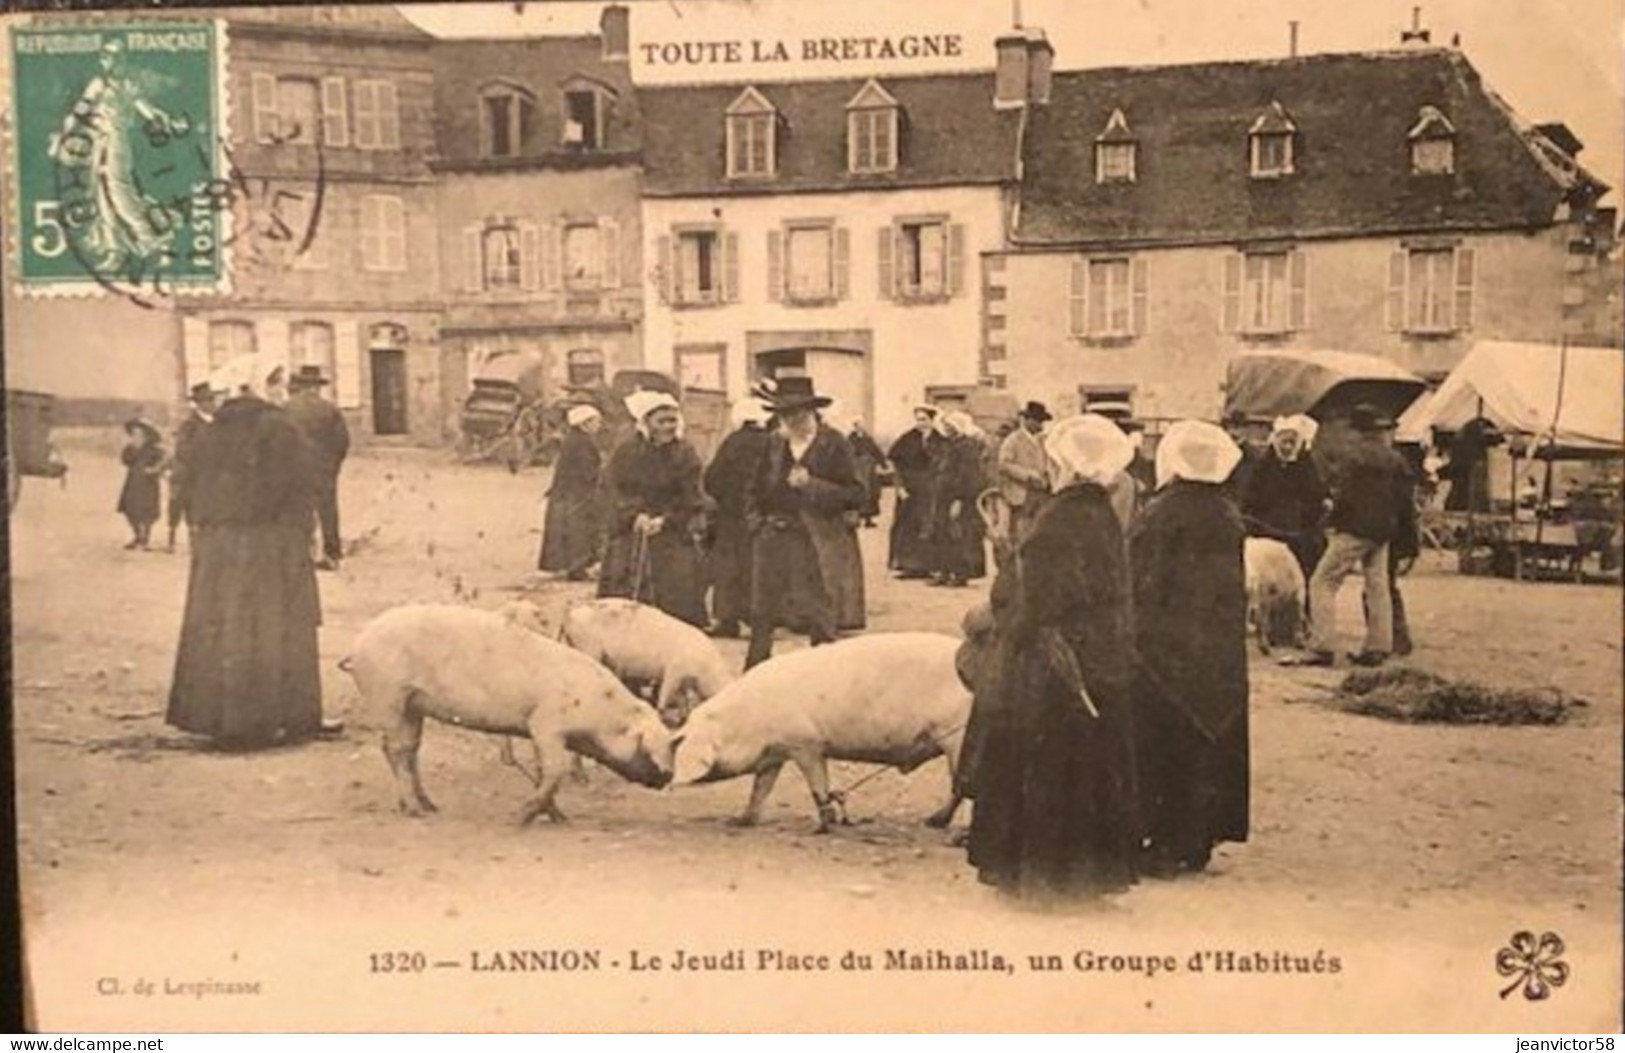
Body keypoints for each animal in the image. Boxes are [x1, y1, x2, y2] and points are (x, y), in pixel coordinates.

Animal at [342, 604, 672, 825]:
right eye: (649, 746)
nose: (668, 777)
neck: (600, 712)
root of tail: (359, 643)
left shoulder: (543, 733)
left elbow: (542, 771)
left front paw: (560, 817)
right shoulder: (545, 724)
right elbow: (554, 770)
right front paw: (520, 818)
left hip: (412, 706)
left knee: (407, 749)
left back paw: (429, 806)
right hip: (389, 697)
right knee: (398, 750)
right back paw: (414, 811)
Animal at [562, 598, 734, 728]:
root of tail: (570, 614)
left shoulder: (685, 680)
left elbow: (683, 700)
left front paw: (683, 719)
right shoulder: (673, 671)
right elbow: (665, 695)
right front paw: (664, 717)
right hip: (589, 648)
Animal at [669, 630, 962, 832]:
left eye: (682, 742)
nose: (665, 776)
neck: (750, 719)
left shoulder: (806, 743)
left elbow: (818, 786)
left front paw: (823, 826)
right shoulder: (775, 752)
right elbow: (760, 789)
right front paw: (740, 821)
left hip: (955, 738)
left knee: (959, 788)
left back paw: (934, 822)